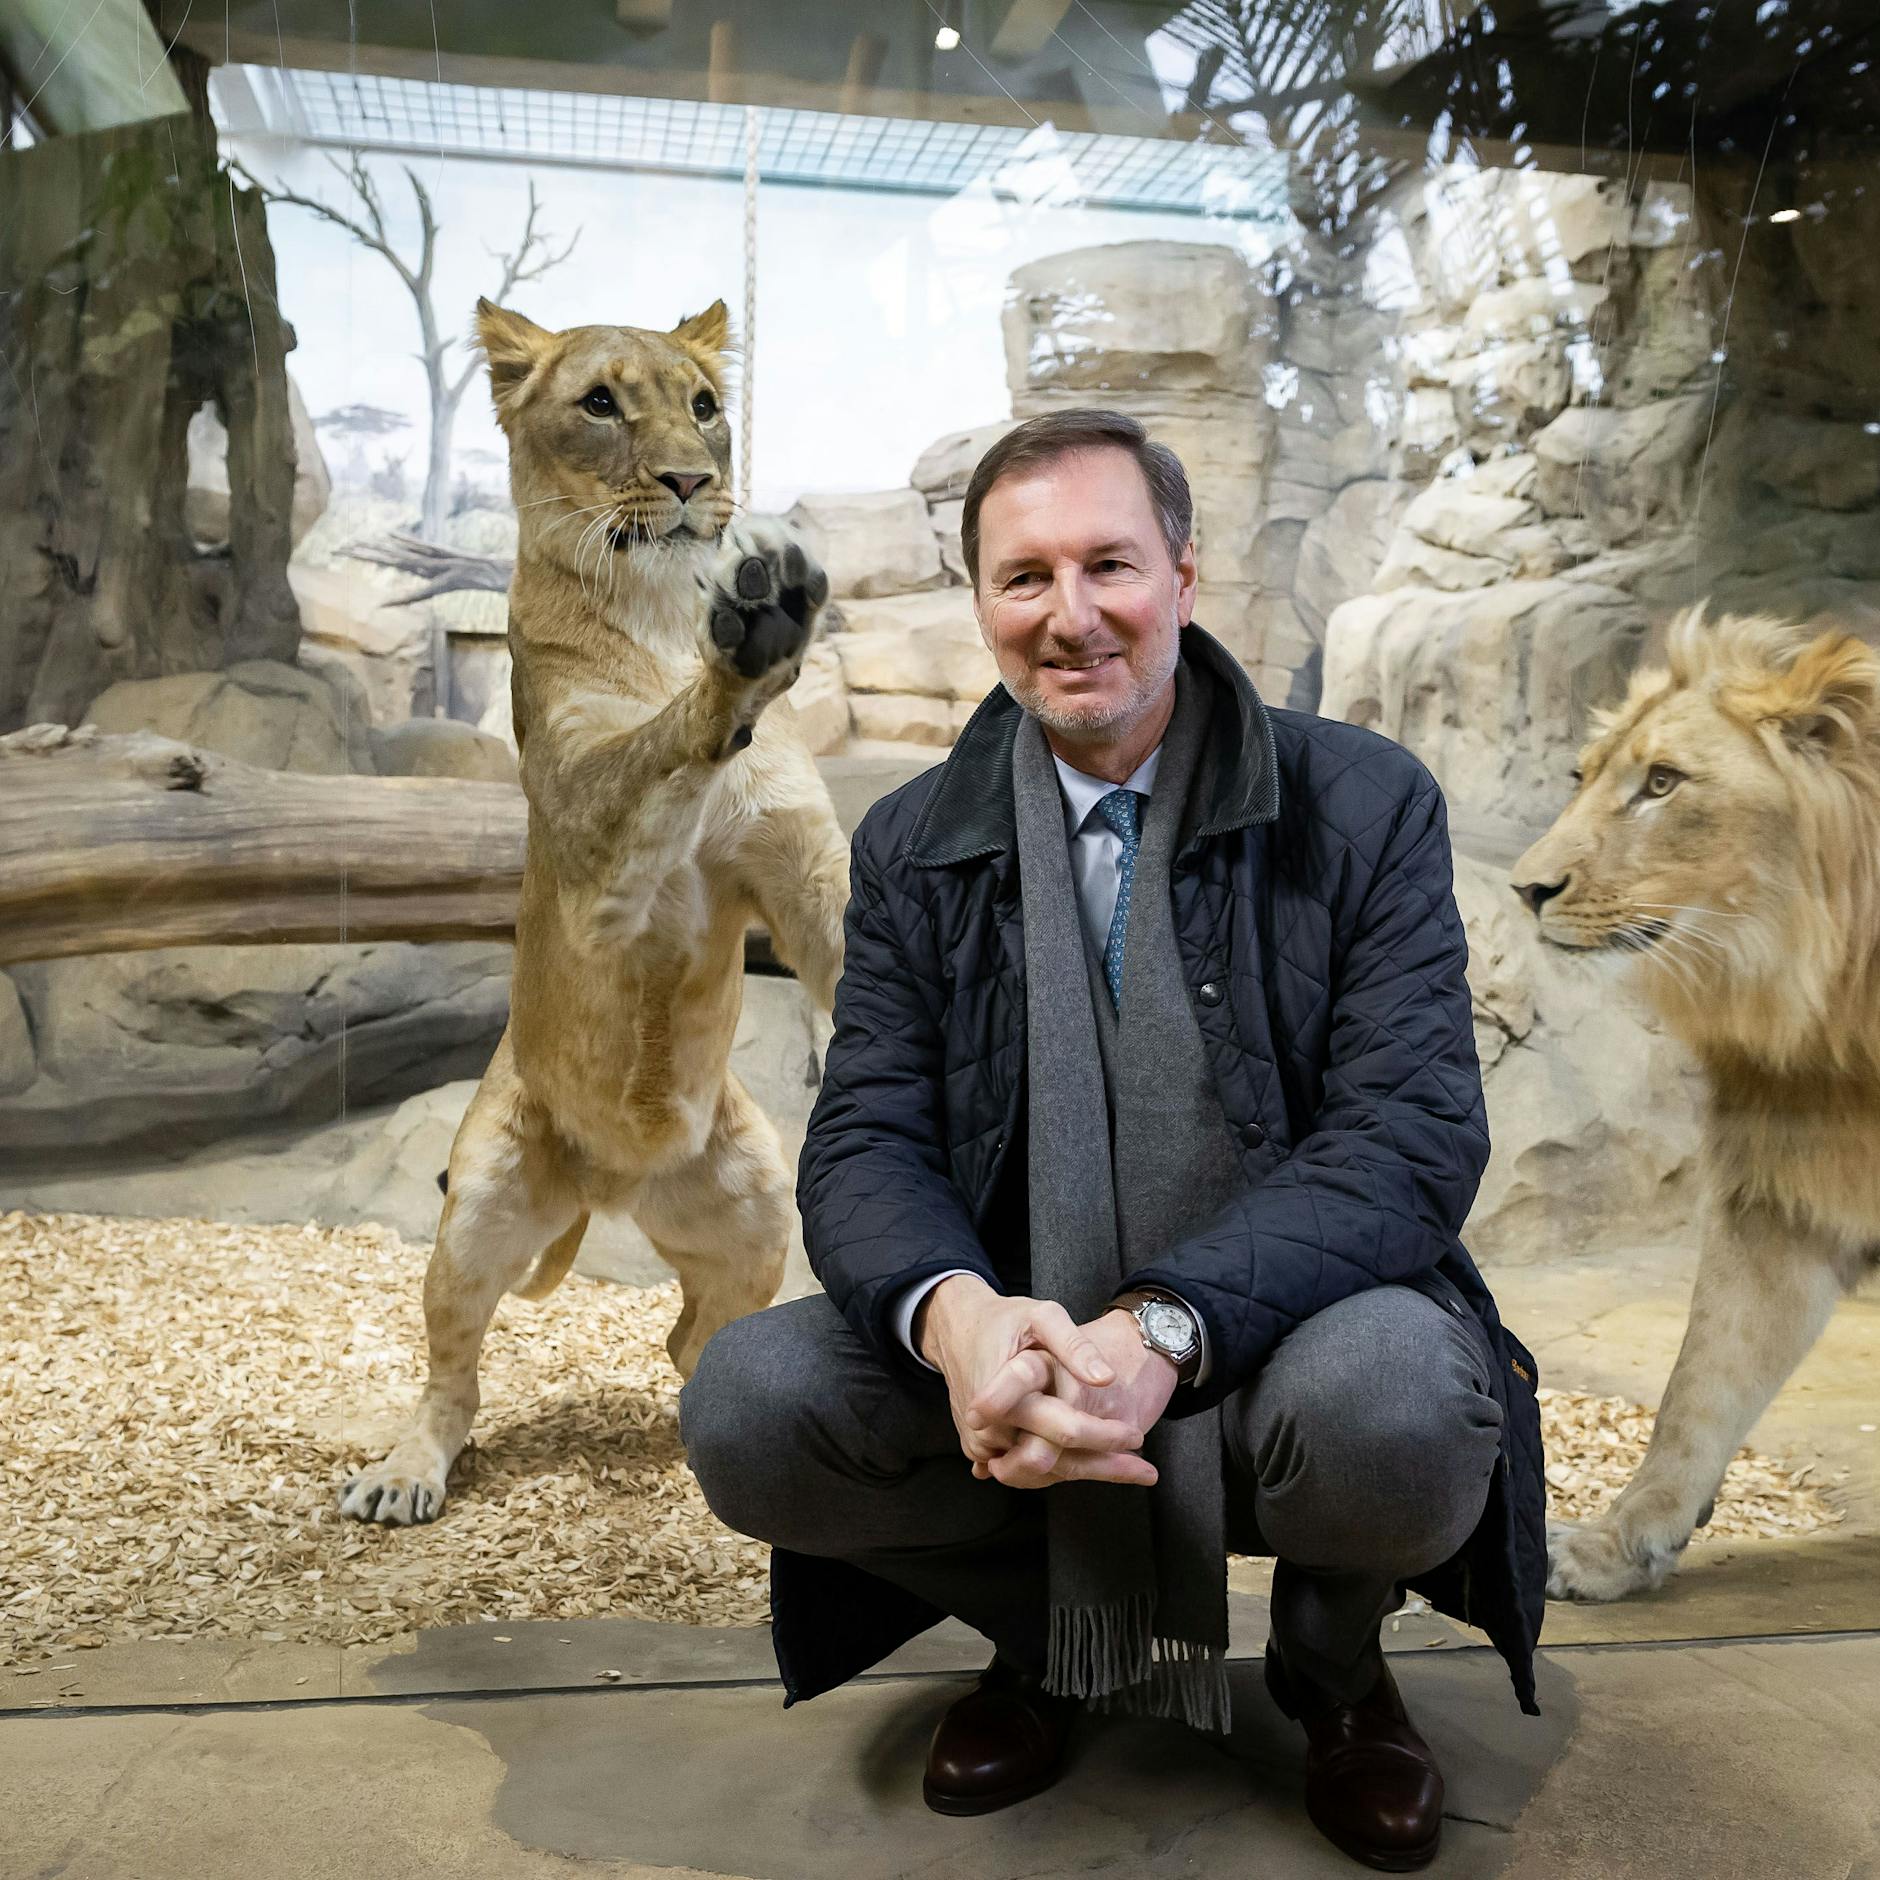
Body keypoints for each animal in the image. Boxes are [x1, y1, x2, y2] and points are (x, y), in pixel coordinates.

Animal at [339, 296, 850, 1526]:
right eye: (601, 404)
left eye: (705, 405)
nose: (690, 479)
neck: (659, 613)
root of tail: (612, 1183)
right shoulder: (588, 848)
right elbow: (654, 748)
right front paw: (746, 640)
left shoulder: (801, 871)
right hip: (478, 1206)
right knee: (453, 1372)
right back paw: (403, 1474)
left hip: (756, 1205)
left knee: (689, 1340)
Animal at [1511, 606, 1880, 1600]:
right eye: (1584, 776)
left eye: (1664, 784)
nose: (1526, 888)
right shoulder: (1788, 1188)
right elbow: (1703, 1380)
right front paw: (1617, 1546)